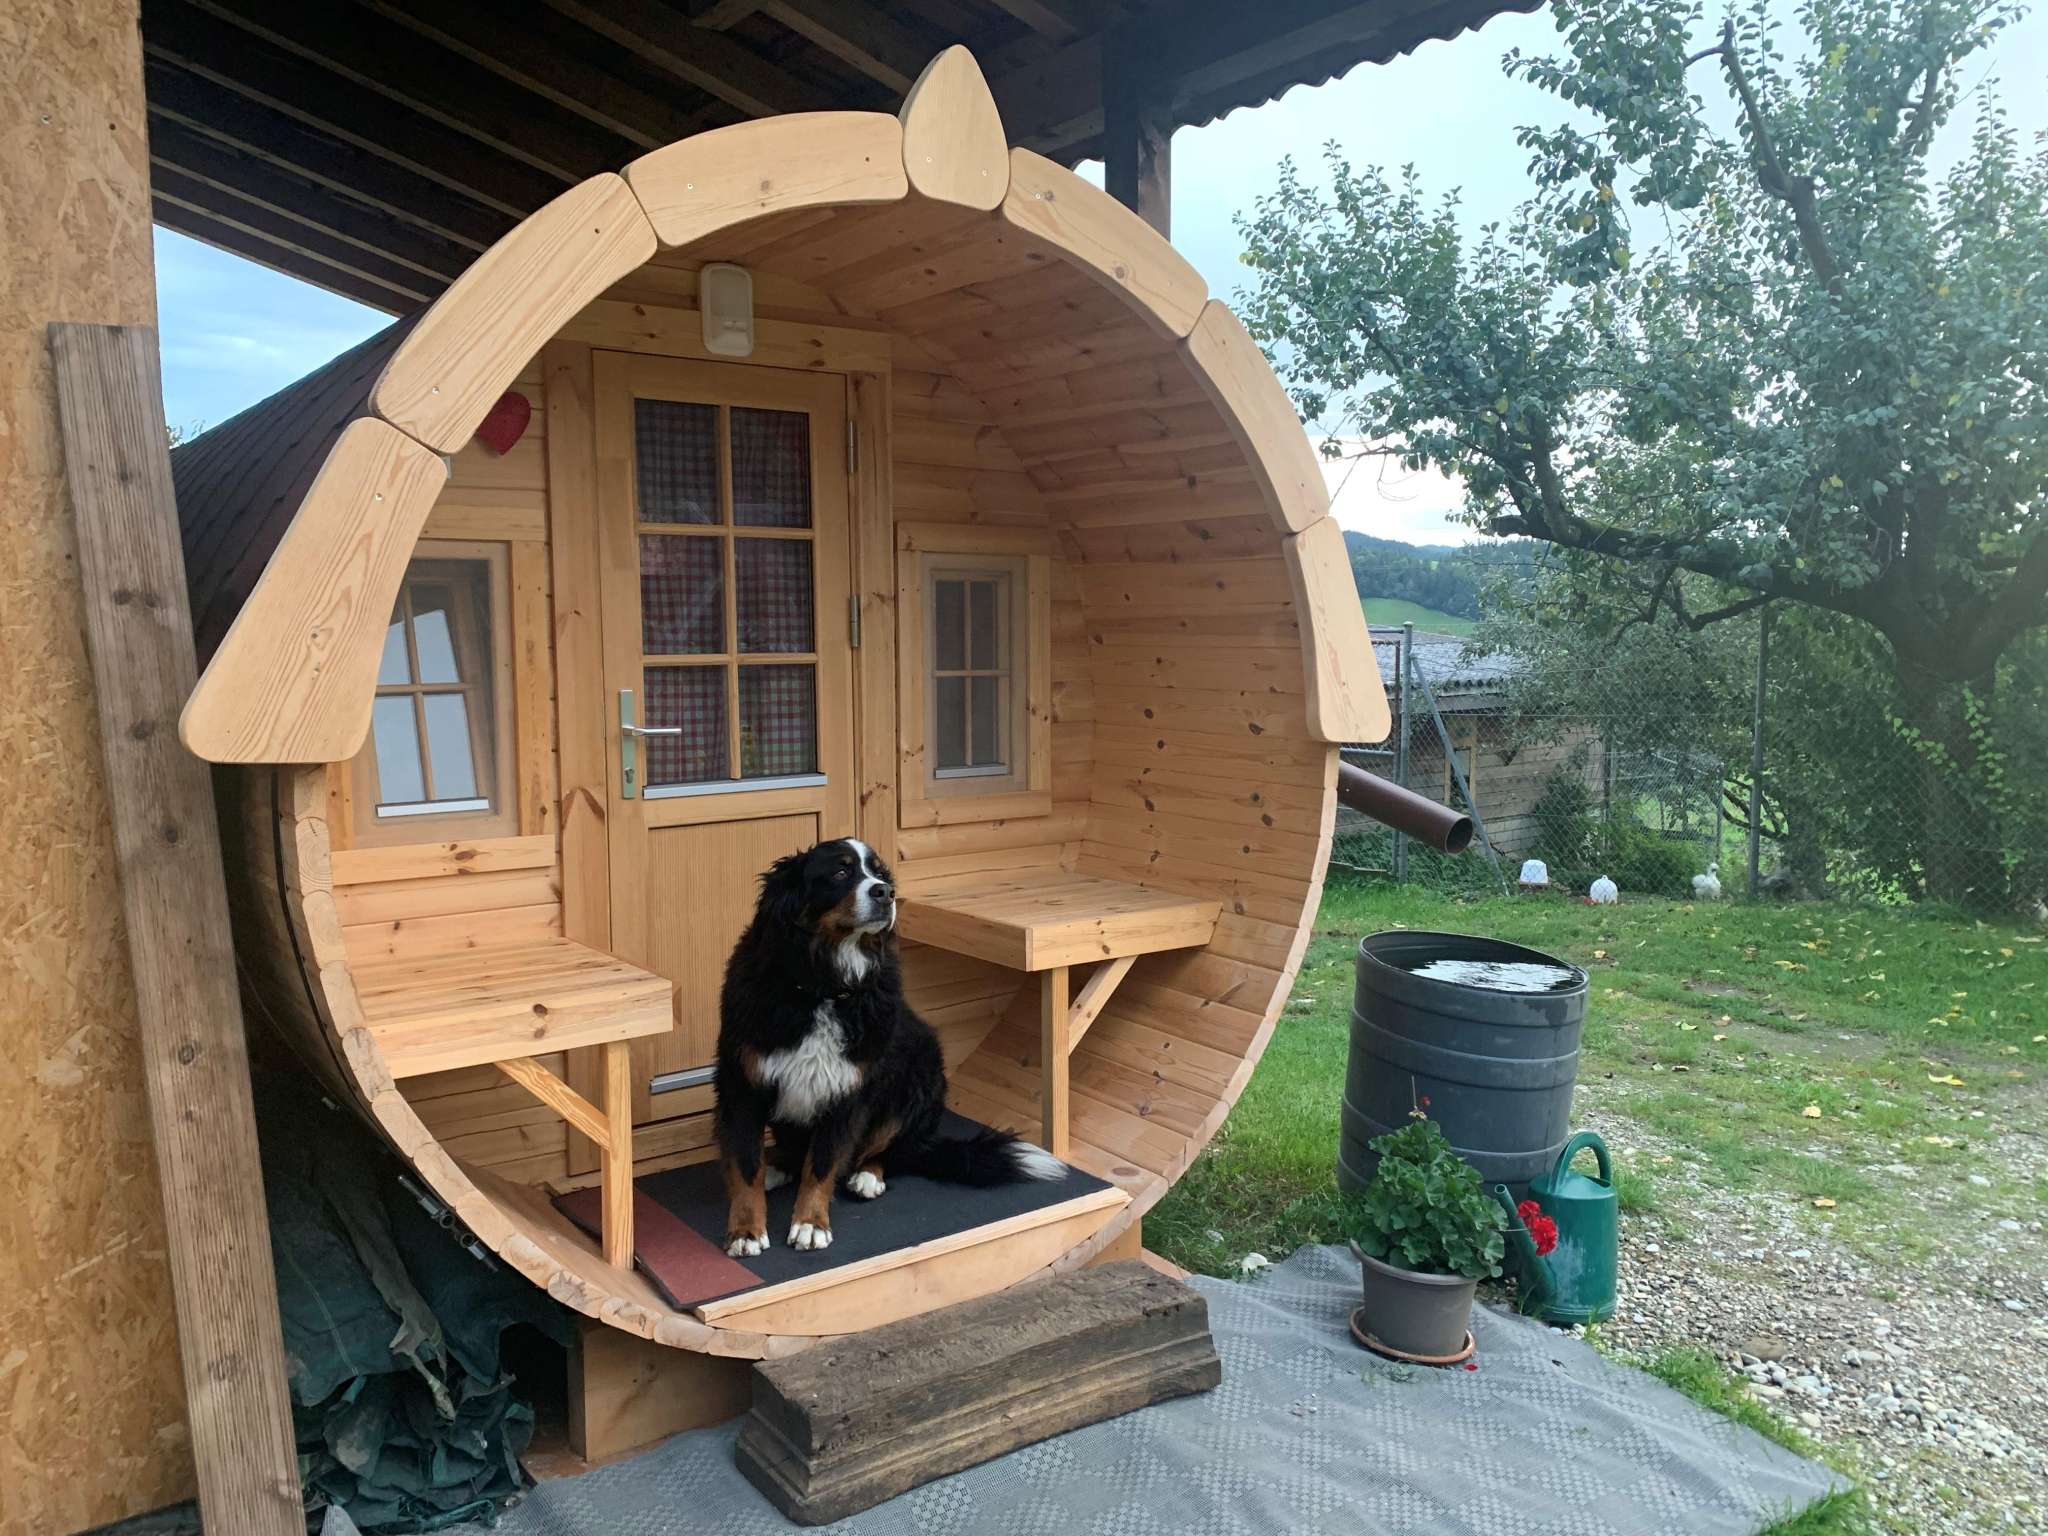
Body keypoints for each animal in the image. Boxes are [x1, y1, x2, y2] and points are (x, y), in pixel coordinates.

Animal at [714, 837, 1063, 1257]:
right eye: (841, 871)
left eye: (880, 874)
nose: (885, 893)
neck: (823, 987)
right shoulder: (743, 1083)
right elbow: (746, 1164)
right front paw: (746, 1230)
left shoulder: (847, 1090)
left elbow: (822, 1164)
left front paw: (810, 1224)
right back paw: (778, 1165)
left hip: (918, 1079)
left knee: (890, 1151)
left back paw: (867, 1176)